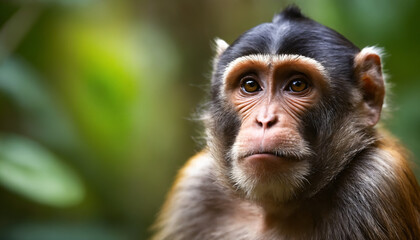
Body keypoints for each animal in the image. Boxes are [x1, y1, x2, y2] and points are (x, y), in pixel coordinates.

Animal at [151, 6, 420, 240]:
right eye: (250, 85)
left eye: (297, 85)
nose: (265, 120)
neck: (273, 211)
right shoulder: (194, 188)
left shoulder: (377, 183)